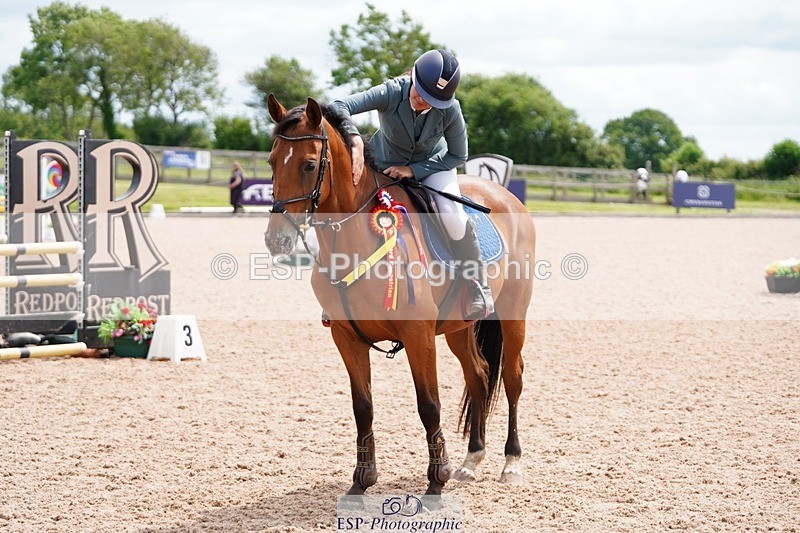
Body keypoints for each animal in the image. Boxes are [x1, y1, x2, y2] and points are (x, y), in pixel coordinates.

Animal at [264, 94, 536, 496]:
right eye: (271, 161)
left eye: (309, 164)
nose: (276, 240)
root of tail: (506, 196)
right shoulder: (346, 337)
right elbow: (362, 407)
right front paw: (361, 481)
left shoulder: (418, 334)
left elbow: (429, 406)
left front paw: (436, 481)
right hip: (458, 326)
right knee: (479, 375)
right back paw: (471, 460)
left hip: (513, 312)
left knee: (512, 377)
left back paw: (512, 463)